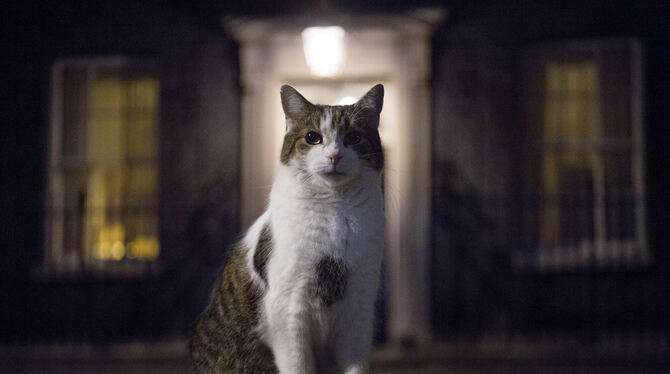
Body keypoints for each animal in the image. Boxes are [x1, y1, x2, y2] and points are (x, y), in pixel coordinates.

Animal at [192, 84, 386, 374]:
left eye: (354, 137)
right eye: (312, 137)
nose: (335, 155)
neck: (335, 210)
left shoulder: (360, 308)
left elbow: (355, 364)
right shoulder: (289, 308)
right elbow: (297, 365)